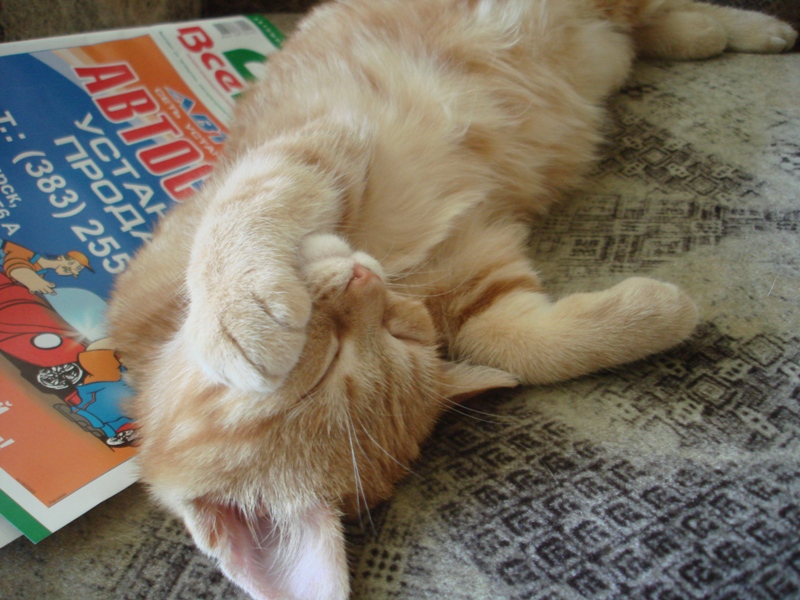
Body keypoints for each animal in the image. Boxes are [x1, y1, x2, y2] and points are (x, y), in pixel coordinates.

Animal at [107, 1, 797, 598]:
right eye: (336, 362)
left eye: (390, 333)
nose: (364, 279)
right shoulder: (480, 268)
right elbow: (517, 341)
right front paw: (658, 313)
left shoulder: (318, 138)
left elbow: (249, 202)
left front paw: (236, 312)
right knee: (648, 22)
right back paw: (708, 33)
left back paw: (753, 27)